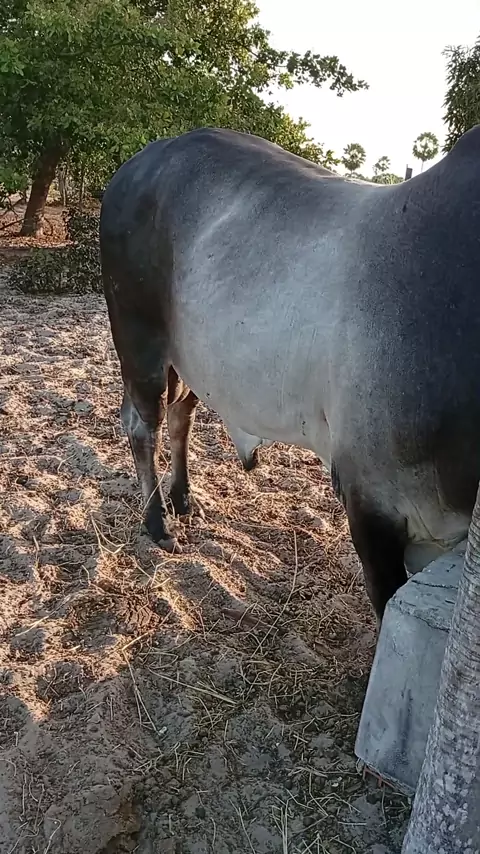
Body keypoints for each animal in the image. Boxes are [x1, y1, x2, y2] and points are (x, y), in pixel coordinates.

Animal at [100, 125, 480, 624]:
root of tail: (132, 166)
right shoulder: (369, 501)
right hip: (139, 340)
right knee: (144, 425)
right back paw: (158, 523)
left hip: (189, 359)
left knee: (181, 416)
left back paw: (184, 500)